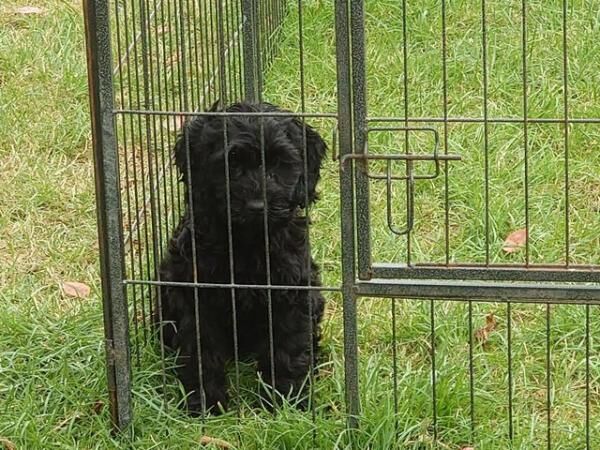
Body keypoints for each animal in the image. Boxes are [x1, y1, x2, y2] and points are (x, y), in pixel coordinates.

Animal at [152, 101, 326, 414]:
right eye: (231, 163)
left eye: (279, 163)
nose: (257, 206)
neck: (247, 242)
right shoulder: (196, 297)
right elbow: (201, 350)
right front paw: (205, 405)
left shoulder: (292, 292)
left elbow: (288, 348)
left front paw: (287, 403)